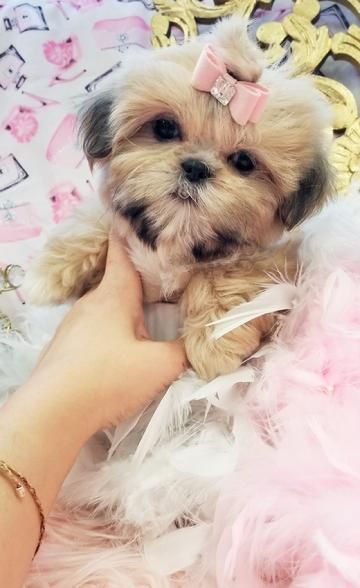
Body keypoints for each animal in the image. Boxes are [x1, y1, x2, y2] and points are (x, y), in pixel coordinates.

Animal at [26, 17, 334, 382]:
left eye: (244, 162)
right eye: (164, 128)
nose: (196, 167)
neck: (176, 235)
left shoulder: (270, 259)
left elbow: (224, 274)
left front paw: (215, 341)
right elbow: (94, 223)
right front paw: (48, 273)